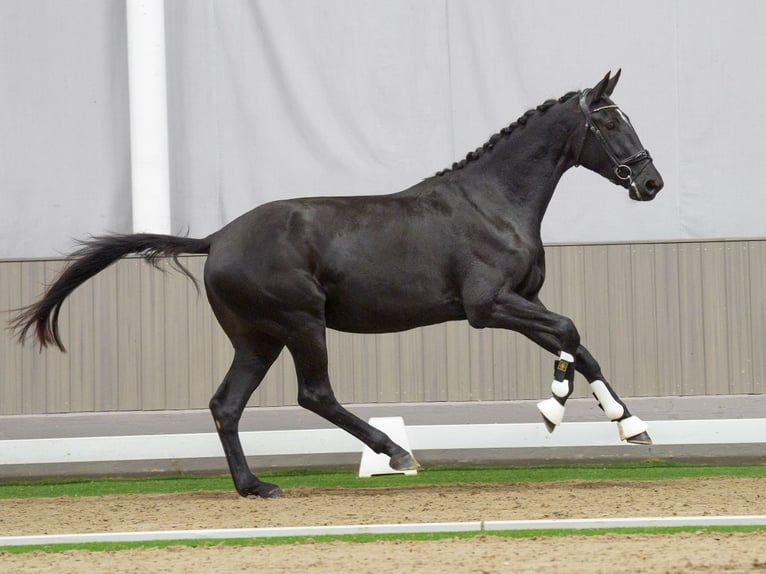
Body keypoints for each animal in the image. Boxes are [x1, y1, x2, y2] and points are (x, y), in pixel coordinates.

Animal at [9, 72, 664, 500]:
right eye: (608, 121)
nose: (651, 182)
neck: (494, 203)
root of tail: (218, 238)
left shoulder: (523, 300)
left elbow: (578, 343)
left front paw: (630, 425)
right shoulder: (488, 306)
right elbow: (569, 332)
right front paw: (553, 408)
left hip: (258, 338)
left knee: (226, 404)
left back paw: (255, 487)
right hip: (301, 323)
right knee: (314, 394)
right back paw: (395, 454)